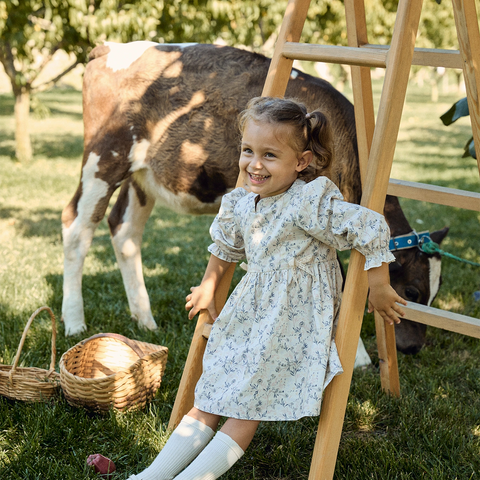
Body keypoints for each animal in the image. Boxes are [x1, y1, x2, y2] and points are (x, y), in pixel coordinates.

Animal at [62, 42, 448, 356]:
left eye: (436, 293)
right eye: (412, 291)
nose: (414, 348)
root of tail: (108, 47)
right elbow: (335, 276)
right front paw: (360, 357)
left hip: (142, 175)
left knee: (124, 230)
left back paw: (145, 320)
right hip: (104, 155)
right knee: (76, 226)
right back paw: (74, 322)